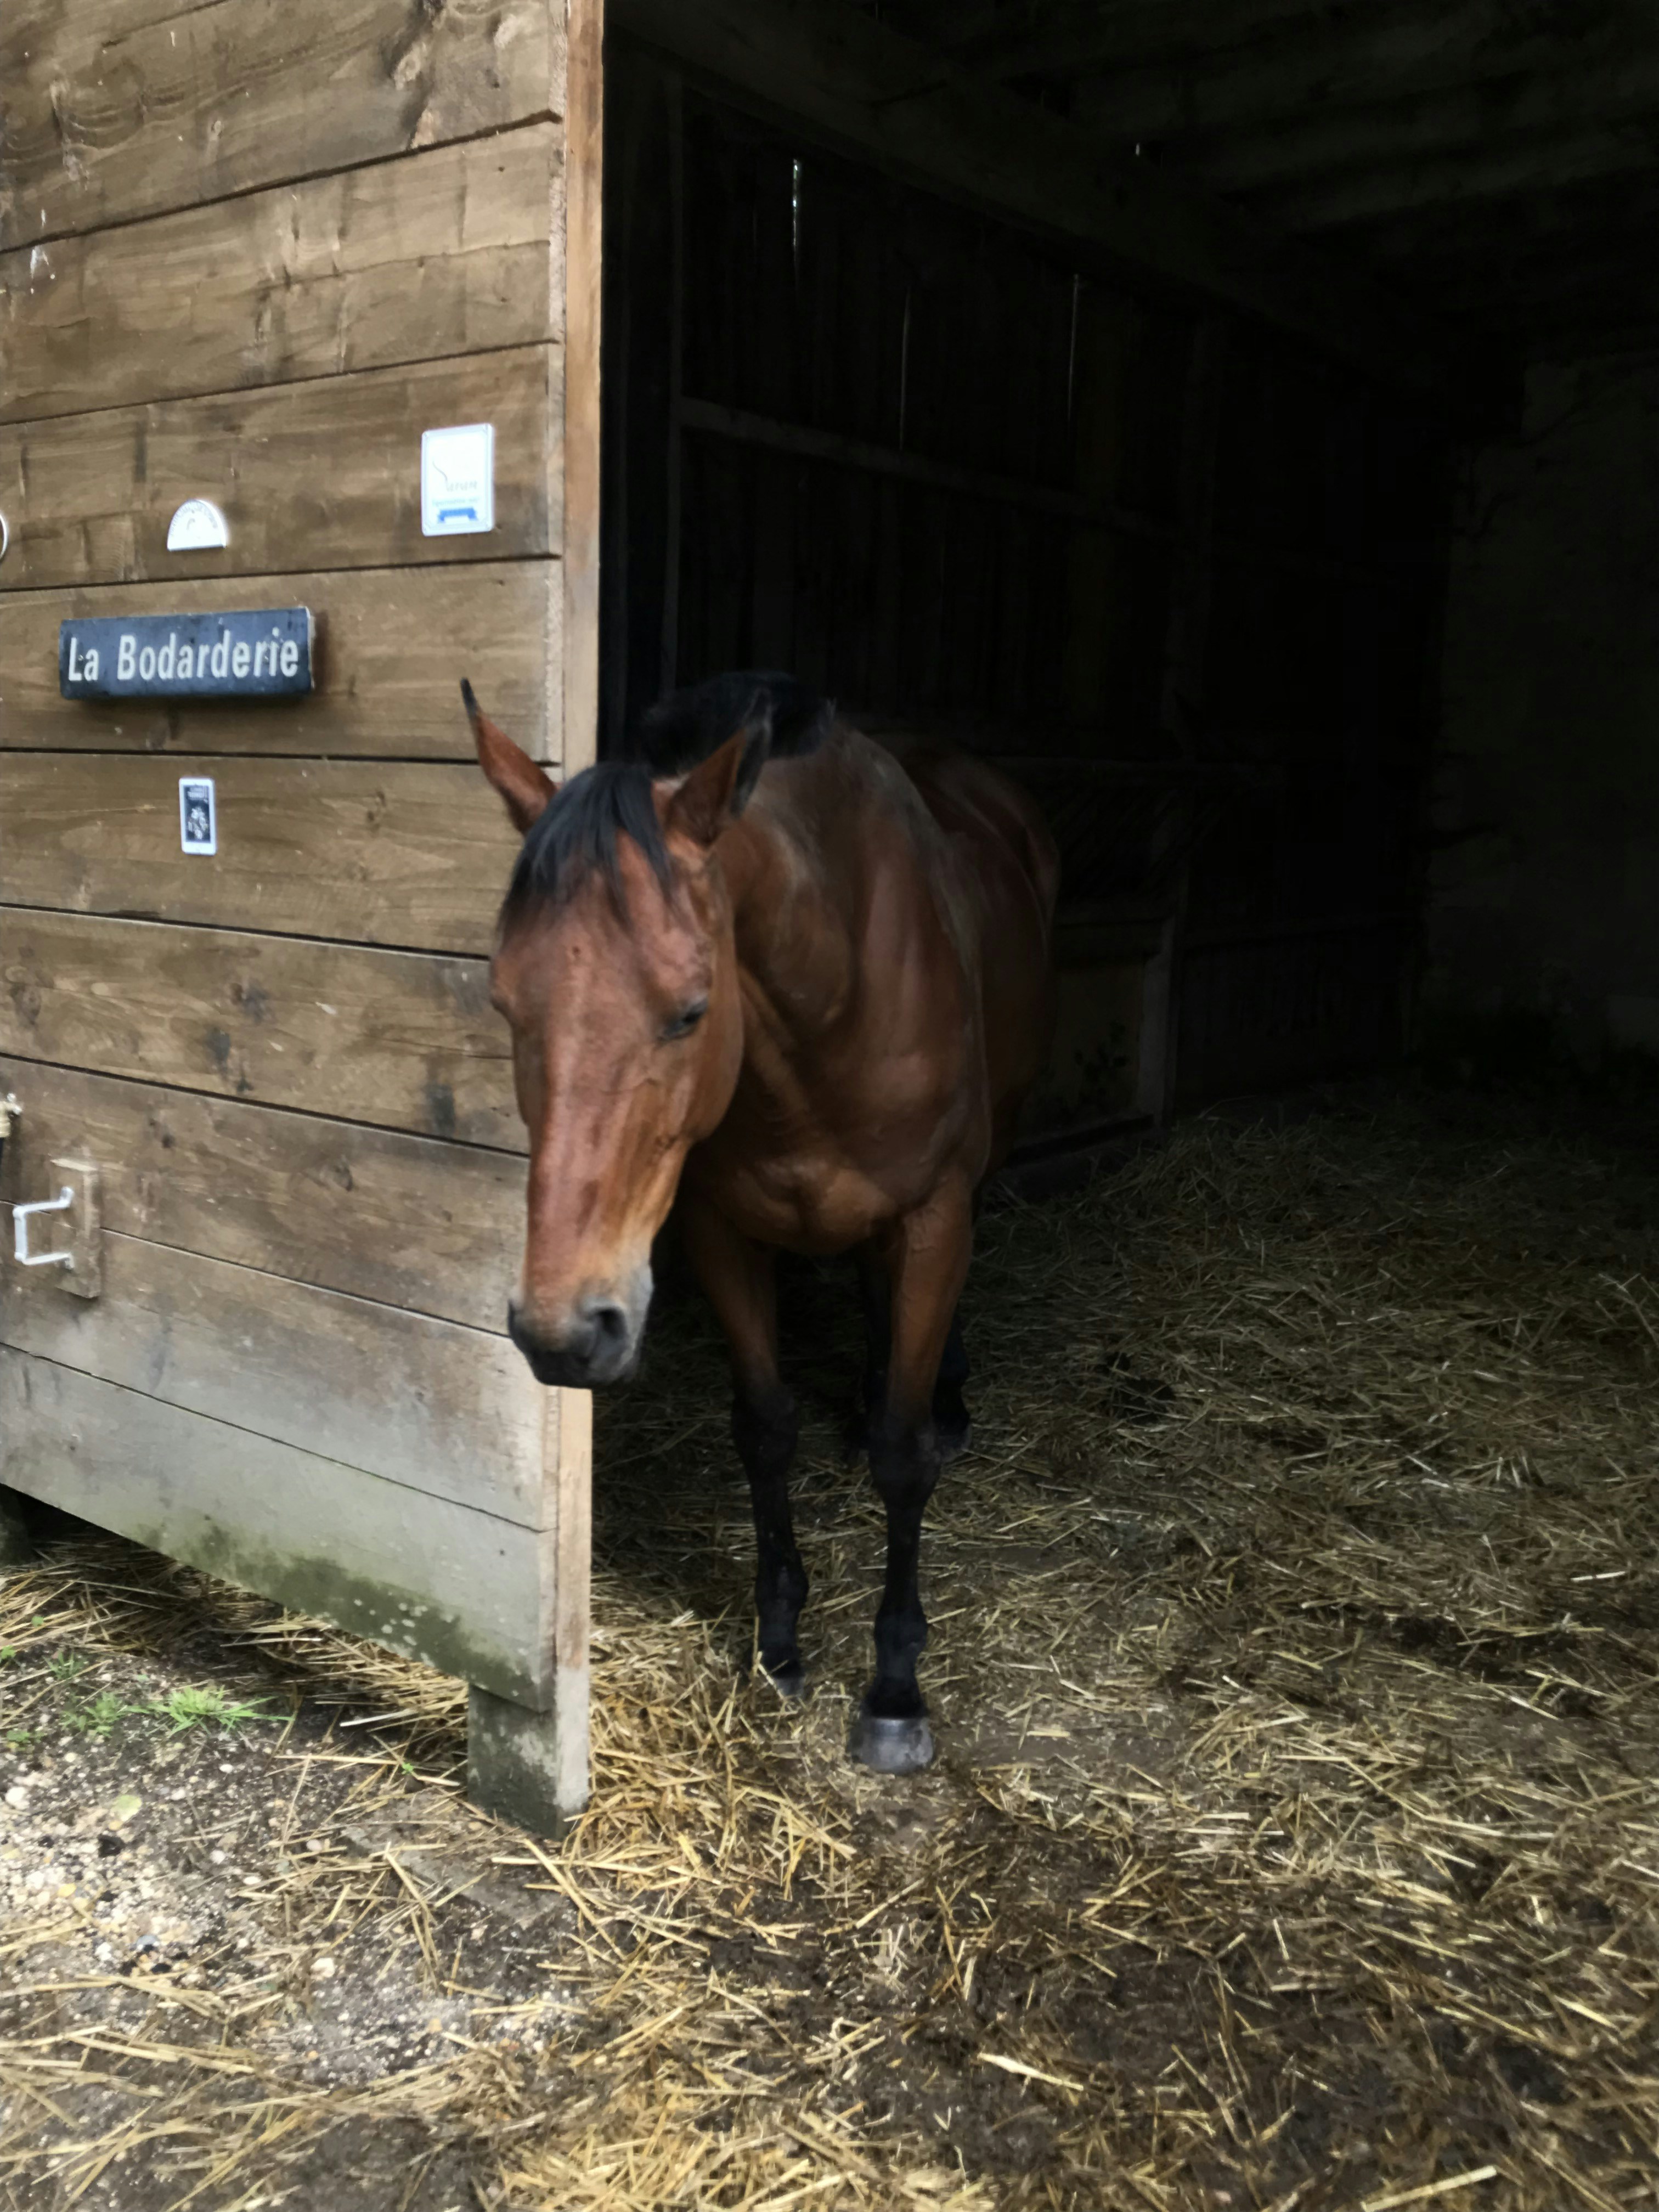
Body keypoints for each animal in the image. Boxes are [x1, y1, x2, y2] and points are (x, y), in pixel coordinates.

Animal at [463, 671, 1059, 1772]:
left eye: (691, 1009)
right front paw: (779, 1638)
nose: (563, 1330)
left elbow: (902, 1453)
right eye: (505, 1001)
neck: (835, 1006)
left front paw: (894, 1689)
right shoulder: (718, 1230)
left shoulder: (931, 1220)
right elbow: (765, 1428)